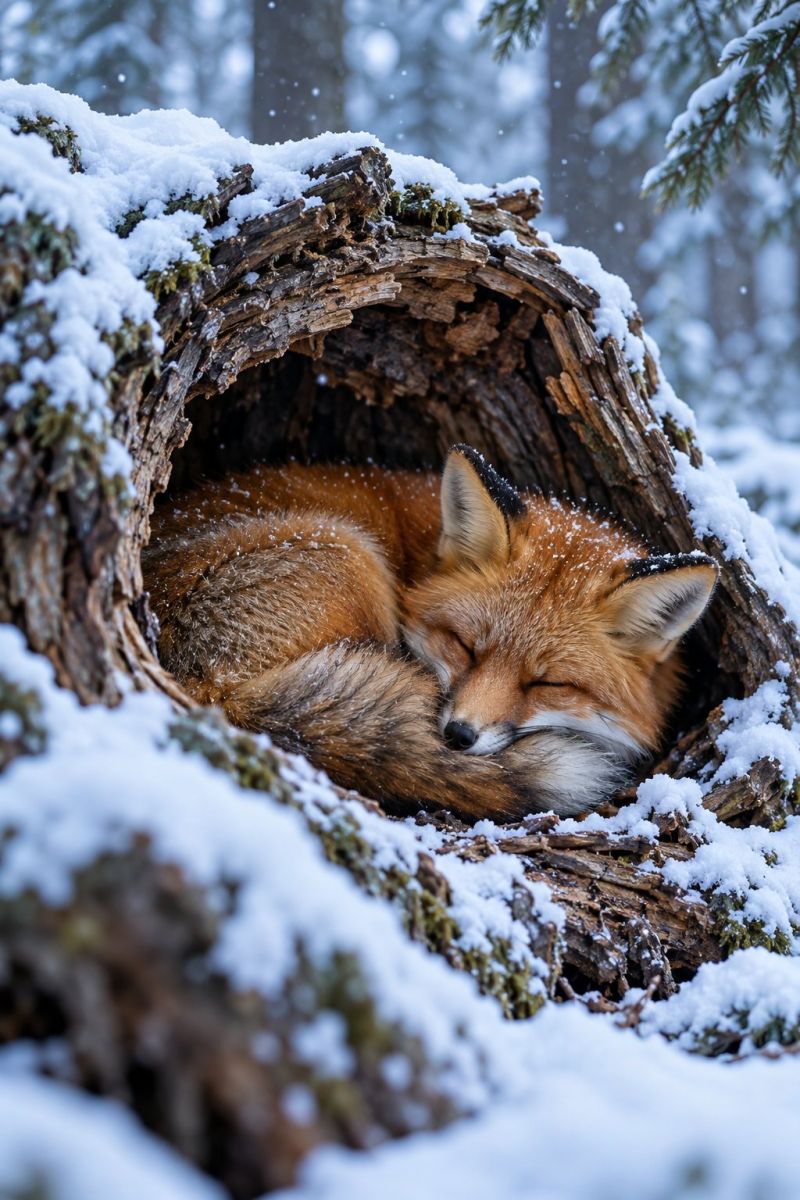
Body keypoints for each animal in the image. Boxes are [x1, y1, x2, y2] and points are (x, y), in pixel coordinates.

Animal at [143, 444, 718, 822]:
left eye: (548, 684)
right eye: (465, 647)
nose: (458, 737)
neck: (419, 559)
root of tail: (215, 689)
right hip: (353, 557)